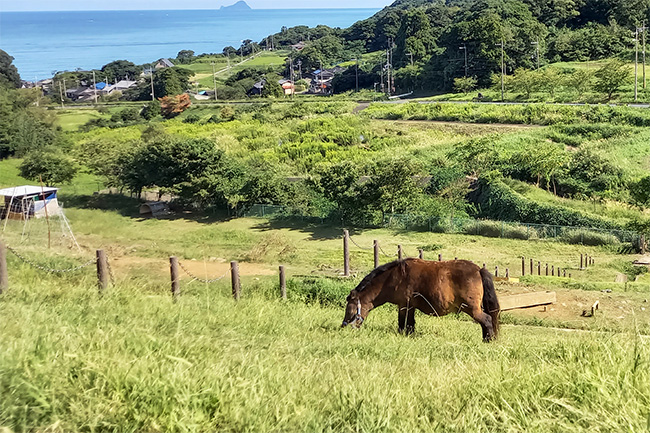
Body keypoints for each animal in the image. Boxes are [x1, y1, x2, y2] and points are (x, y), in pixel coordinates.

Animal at [341, 258, 500, 342]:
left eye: (349, 308)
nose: (343, 326)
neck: (394, 277)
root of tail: (478, 270)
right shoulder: (409, 306)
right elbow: (410, 324)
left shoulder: (404, 305)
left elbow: (403, 323)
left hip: (472, 309)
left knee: (486, 320)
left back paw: (488, 340)